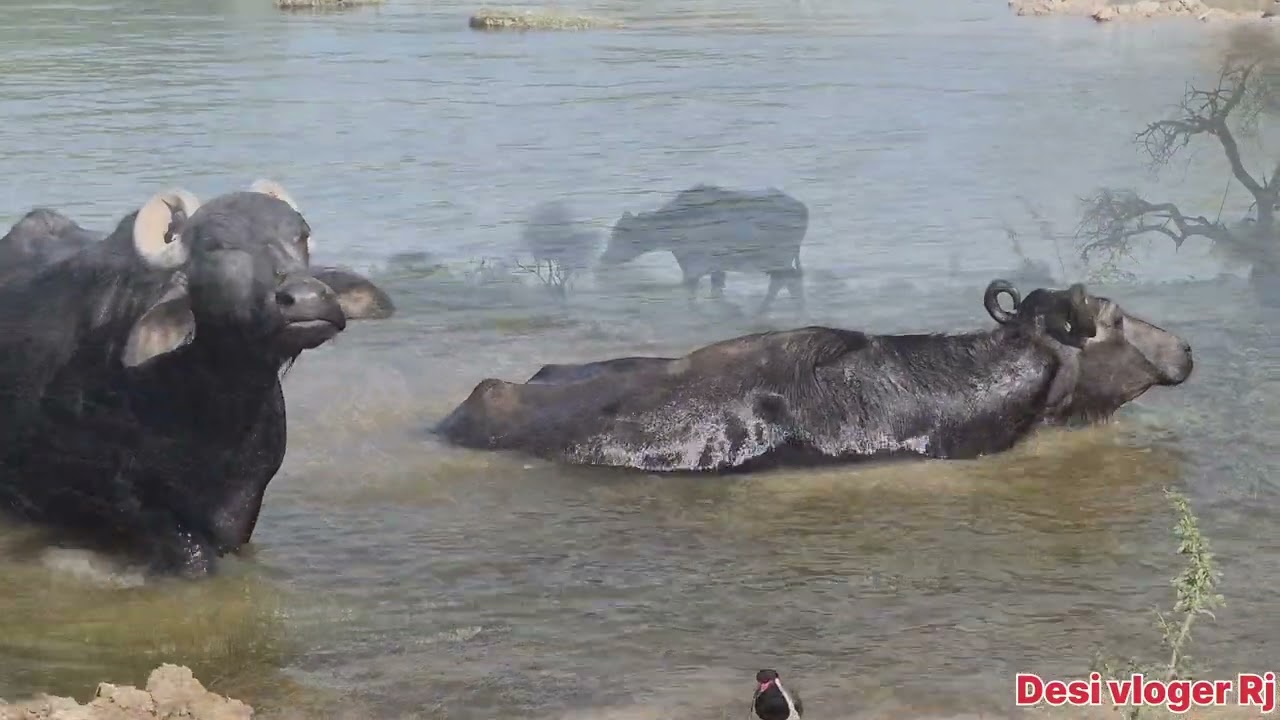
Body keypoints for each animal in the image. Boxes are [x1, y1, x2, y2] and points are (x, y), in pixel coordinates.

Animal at [0, 181, 394, 578]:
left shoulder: (247, 494)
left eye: (300, 235)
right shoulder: (125, 497)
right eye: (219, 245)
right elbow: (194, 556)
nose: (307, 298)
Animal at [599, 184, 808, 315]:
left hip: (778, 259)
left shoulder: (696, 264)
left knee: (784, 282)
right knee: (787, 282)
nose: (603, 258)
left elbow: (696, 291)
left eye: (620, 235)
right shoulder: (713, 266)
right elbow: (714, 289)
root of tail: (801, 208)